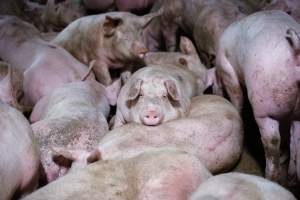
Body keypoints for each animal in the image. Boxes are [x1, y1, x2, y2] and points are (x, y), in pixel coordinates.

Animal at [214, 10, 300, 183]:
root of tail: (296, 50)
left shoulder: (227, 70)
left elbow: (237, 97)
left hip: (264, 105)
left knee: (272, 141)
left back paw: (270, 178)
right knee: (296, 138)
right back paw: (292, 178)